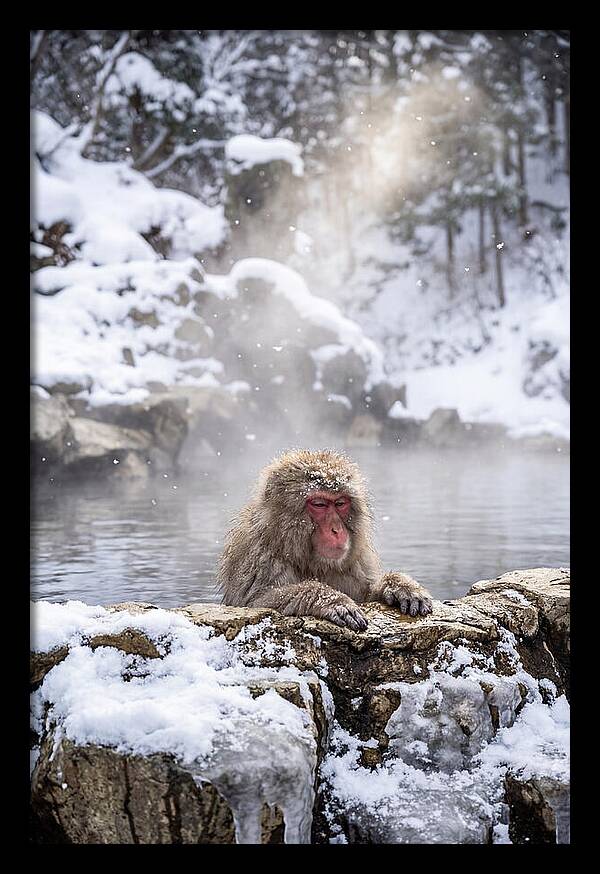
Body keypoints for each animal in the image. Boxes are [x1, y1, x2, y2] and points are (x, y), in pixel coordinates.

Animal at [218, 448, 433, 631]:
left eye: (340, 503)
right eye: (319, 504)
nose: (336, 530)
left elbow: (366, 594)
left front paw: (399, 586)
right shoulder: (257, 555)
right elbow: (256, 602)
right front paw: (332, 600)